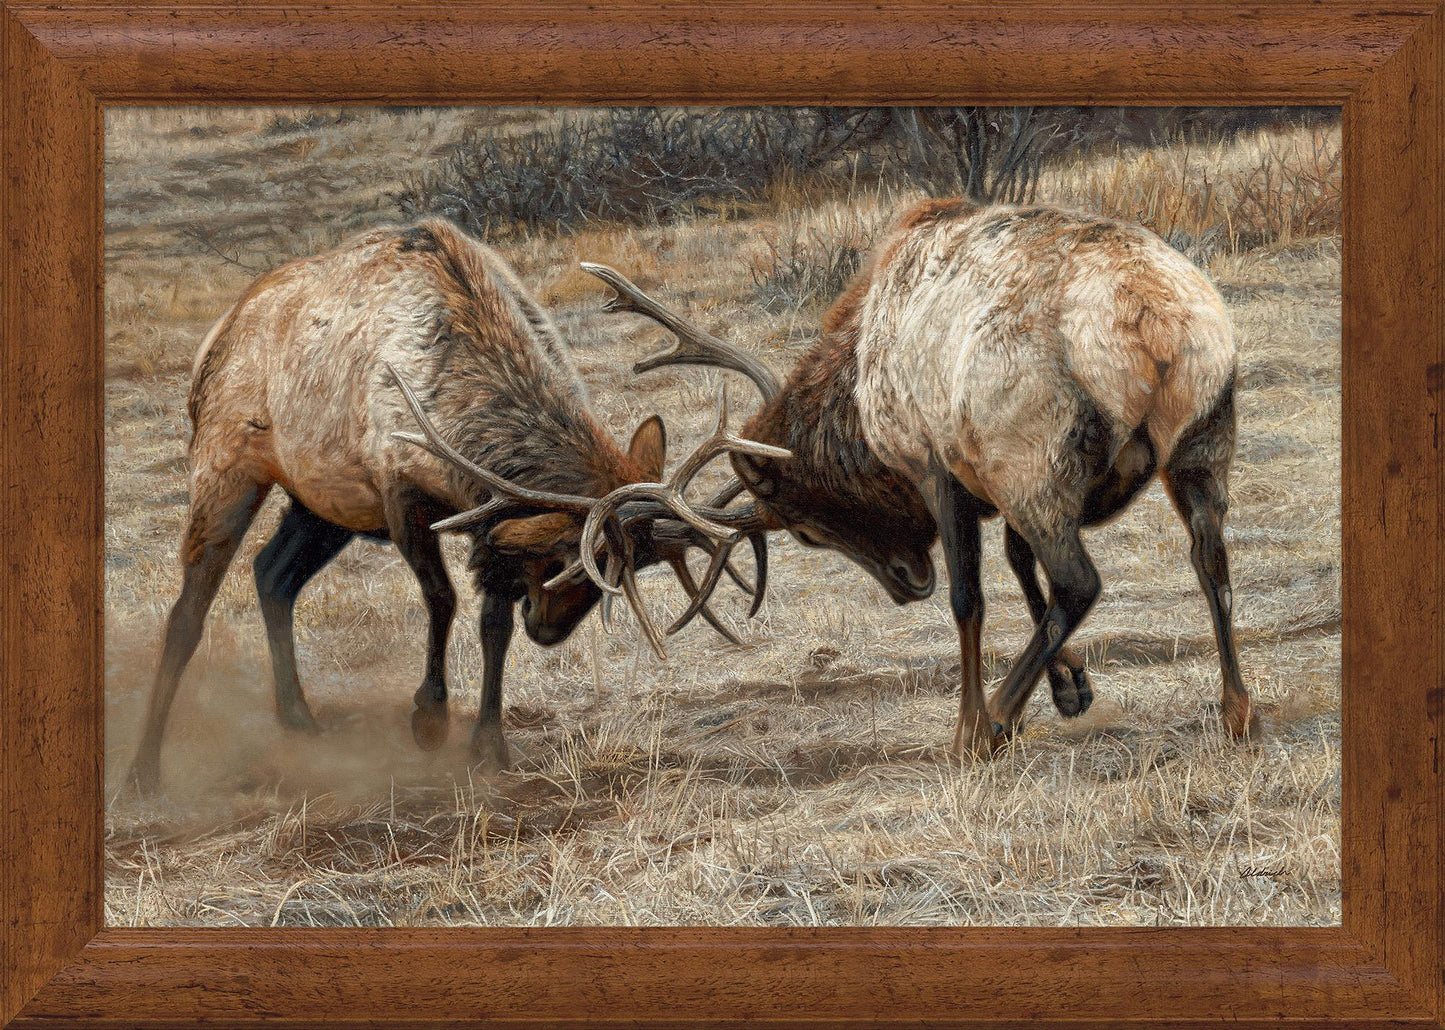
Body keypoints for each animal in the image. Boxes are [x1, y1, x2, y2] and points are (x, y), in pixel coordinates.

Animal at [128, 217, 785, 794]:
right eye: (569, 559)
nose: (549, 630)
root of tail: (215, 336)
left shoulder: (484, 518)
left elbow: (493, 625)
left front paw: (489, 745)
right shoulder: (399, 491)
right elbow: (442, 598)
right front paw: (429, 718)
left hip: (323, 505)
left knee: (272, 573)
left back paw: (299, 721)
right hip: (226, 462)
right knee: (189, 609)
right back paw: (145, 771)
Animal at [579, 198, 1253, 758]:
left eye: (805, 531)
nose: (908, 583)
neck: (857, 391)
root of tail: (1155, 324)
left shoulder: (940, 466)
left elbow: (969, 599)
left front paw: (972, 723)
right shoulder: (988, 478)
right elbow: (1018, 565)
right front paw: (1071, 688)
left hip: (1034, 455)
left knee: (1079, 581)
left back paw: (994, 720)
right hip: (1201, 441)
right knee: (1210, 558)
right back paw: (1236, 709)